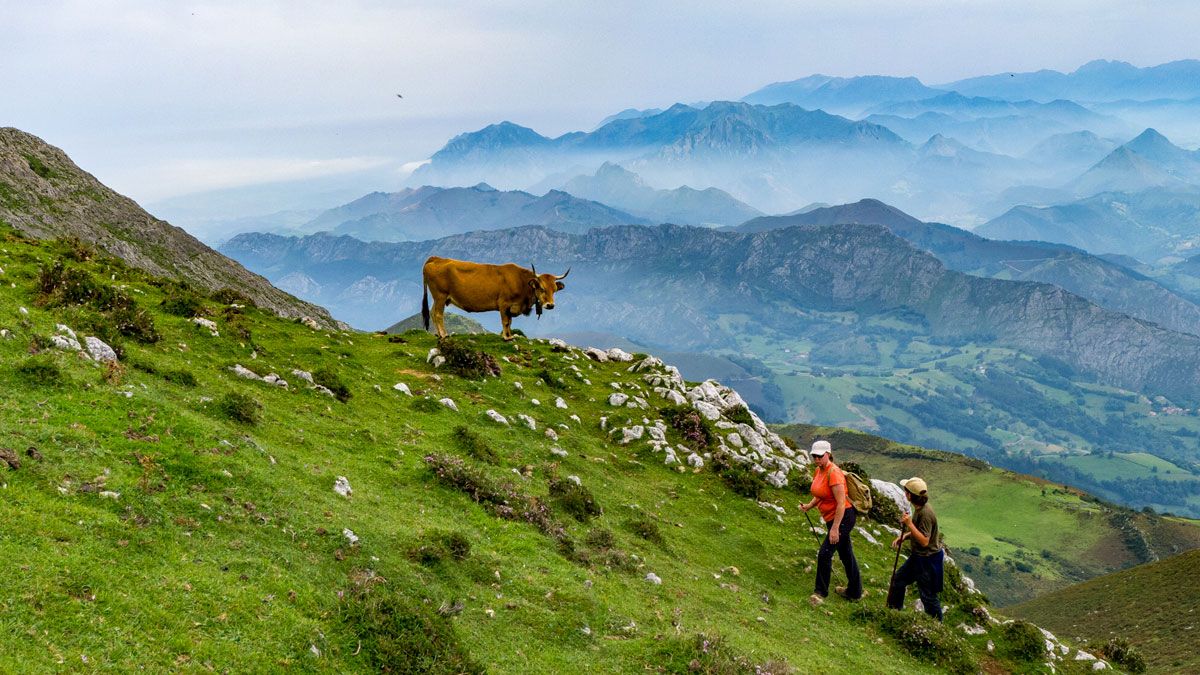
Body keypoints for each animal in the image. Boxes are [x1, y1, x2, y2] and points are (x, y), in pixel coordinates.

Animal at [422, 257, 571, 341]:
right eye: (541, 288)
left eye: (555, 289)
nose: (550, 305)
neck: (521, 282)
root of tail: (435, 258)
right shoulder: (504, 304)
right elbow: (505, 321)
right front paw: (506, 337)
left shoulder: (510, 307)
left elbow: (510, 322)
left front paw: (510, 335)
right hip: (440, 296)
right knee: (438, 314)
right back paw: (444, 334)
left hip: (438, 298)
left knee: (432, 313)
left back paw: (438, 334)